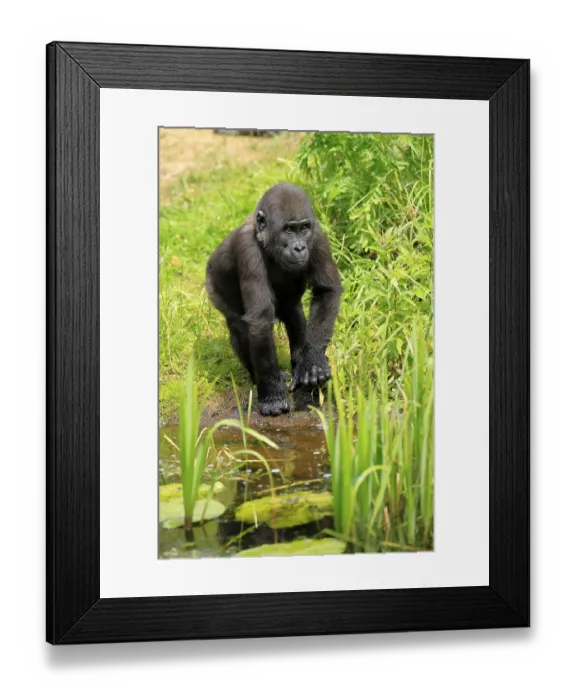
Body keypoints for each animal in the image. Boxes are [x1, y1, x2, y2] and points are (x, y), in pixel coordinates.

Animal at [205, 182, 343, 417]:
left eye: (304, 228)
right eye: (288, 230)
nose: (299, 247)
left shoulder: (317, 236)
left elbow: (327, 291)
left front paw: (313, 361)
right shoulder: (247, 250)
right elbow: (260, 320)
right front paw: (271, 394)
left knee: (294, 312)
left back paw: (300, 366)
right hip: (213, 284)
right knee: (240, 326)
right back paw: (259, 377)